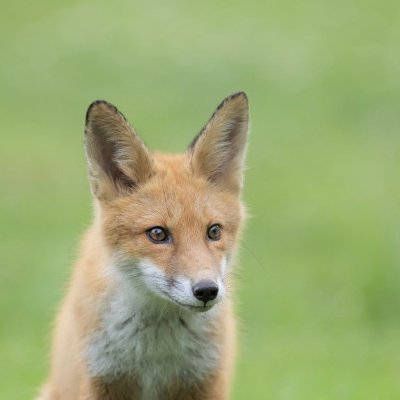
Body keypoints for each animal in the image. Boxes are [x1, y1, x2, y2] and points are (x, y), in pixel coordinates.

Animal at [37, 91, 250, 400]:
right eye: (158, 234)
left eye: (213, 231)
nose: (207, 290)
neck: (154, 352)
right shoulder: (100, 380)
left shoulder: (204, 383)